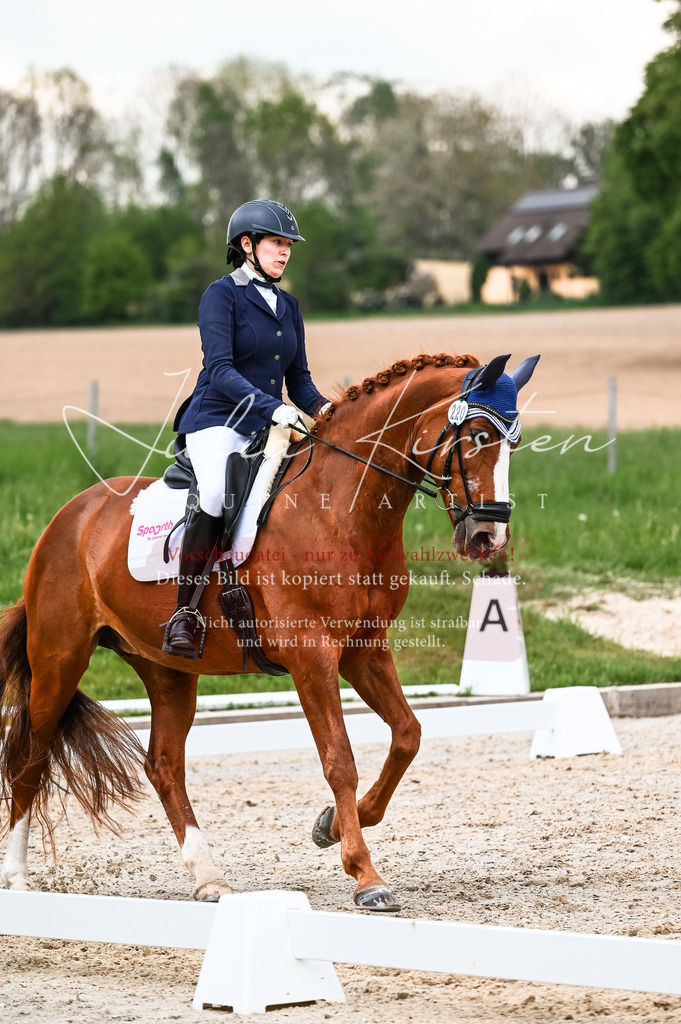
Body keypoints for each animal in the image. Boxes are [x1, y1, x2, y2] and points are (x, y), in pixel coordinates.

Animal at [0, 351, 539, 912]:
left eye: (514, 441)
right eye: (478, 435)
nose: (488, 536)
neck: (340, 508)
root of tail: (69, 516)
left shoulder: (363, 648)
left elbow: (408, 735)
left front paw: (331, 826)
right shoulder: (312, 657)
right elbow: (339, 760)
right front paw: (365, 875)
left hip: (166, 668)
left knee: (164, 764)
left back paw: (209, 879)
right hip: (60, 657)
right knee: (30, 756)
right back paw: (17, 877)